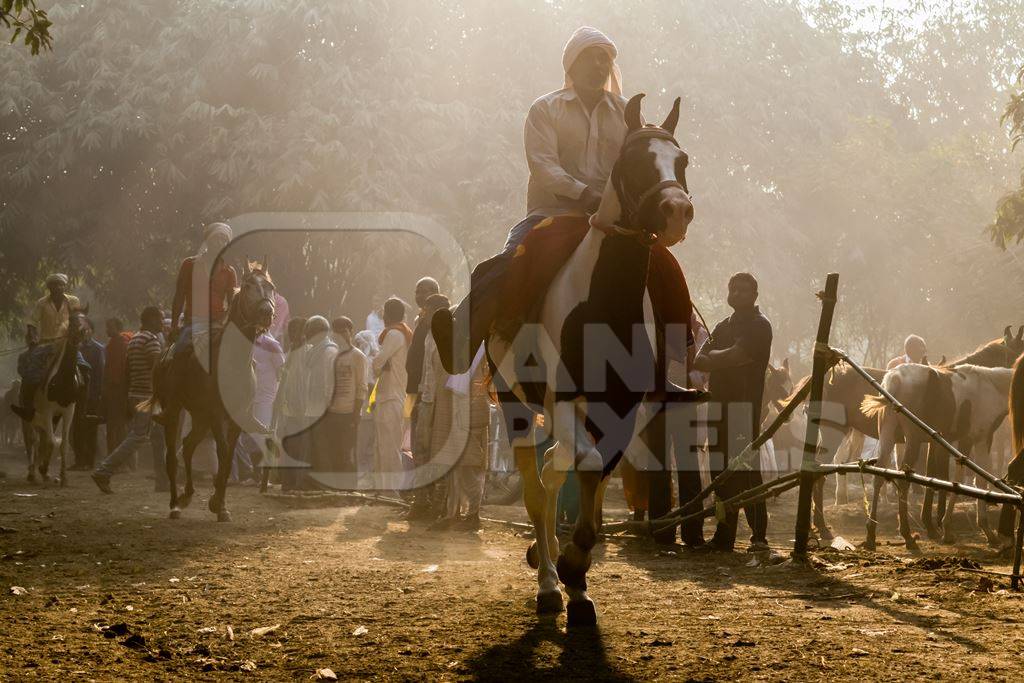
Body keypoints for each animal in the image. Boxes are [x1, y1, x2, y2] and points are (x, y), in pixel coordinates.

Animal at [24, 311, 88, 485]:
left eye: (86, 320)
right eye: (72, 321)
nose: (80, 333)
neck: (62, 383)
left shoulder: (68, 412)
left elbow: (62, 444)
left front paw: (62, 476)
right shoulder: (47, 411)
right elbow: (51, 441)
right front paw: (43, 469)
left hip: (54, 417)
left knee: (42, 439)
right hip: (31, 414)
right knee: (33, 440)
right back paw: (32, 473)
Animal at [147, 264, 276, 520]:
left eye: (270, 286)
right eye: (248, 286)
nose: (266, 312)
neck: (232, 360)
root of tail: (164, 356)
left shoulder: (235, 417)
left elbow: (227, 458)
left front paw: (219, 503)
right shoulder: (216, 414)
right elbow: (224, 453)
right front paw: (218, 504)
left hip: (200, 417)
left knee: (187, 446)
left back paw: (187, 495)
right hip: (175, 411)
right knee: (171, 455)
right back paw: (175, 504)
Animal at [485, 93, 696, 626]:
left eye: (681, 161)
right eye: (634, 161)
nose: (676, 212)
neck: (604, 303)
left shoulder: (622, 409)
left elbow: (595, 482)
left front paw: (578, 576)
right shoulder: (561, 401)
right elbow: (578, 469)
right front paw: (563, 569)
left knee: (560, 468)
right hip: (515, 405)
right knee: (537, 490)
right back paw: (546, 584)